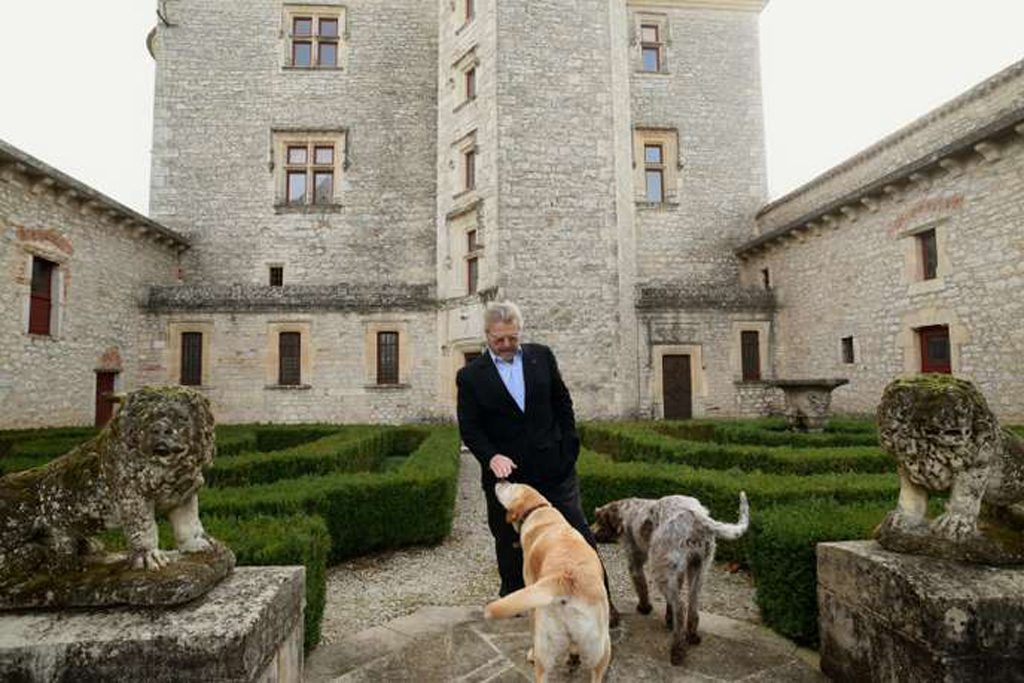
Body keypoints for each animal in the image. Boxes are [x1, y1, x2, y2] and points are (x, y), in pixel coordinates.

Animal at [481, 483, 606, 679]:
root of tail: (566, 577)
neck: (538, 510)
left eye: (511, 485)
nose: (500, 479)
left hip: (545, 644)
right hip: (600, 650)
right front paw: (573, 655)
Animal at [589, 493, 749, 663]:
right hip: (698, 569)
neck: (626, 511)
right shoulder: (675, 572)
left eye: (600, 521)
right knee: (692, 605)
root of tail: (697, 516)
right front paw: (668, 618)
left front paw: (645, 608)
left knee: (680, 607)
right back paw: (692, 636)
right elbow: (669, 600)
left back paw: (677, 650)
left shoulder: (635, 563)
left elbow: (642, 587)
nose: (590, 532)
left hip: (660, 570)